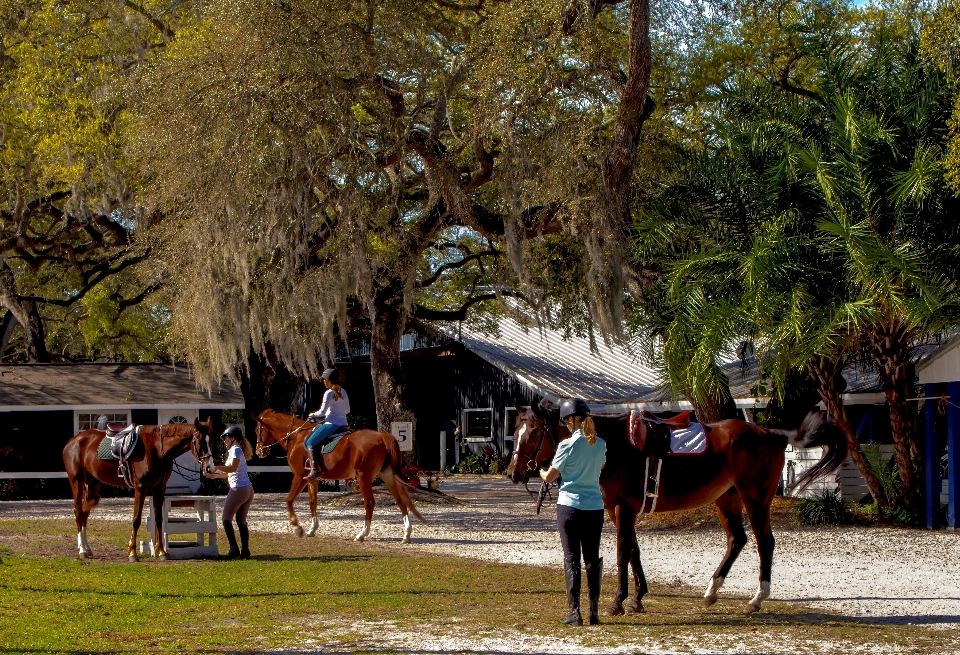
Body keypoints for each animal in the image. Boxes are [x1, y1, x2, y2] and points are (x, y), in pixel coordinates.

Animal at [62, 418, 216, 560]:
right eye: (200, 442)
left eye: (211, 441)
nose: (210, 468)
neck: (156, 448)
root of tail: (72, 441)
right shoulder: (140, 487)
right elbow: (136, 519)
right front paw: (132, 553)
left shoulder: (159, 488)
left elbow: (159, 519)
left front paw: (161, 551)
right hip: (77, 482)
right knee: (78, 512)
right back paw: (82, 550)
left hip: (93, 485)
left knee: (84, 513)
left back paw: (86, 548)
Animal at [253, 410, 422, 544]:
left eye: (256, 430)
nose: (259, 451)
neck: (297, 437)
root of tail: (382, 435)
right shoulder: (313, 479)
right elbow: (312, 502)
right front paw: (312, 529)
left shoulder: (299, 476)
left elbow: (288, 500)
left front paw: (298, 528)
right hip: (387, 475)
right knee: (400, 500)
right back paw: (406, 535)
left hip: (363, 477)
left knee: (370, 503)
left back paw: (361, 534)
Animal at [506, 400, 844, 616]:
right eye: (516, 430)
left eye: (533, 432)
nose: (513, 473)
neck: (614, 446)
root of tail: (771, 434)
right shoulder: (620, 510)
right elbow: (633, 550)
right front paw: (637, 598)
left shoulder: (623, 508)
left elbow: (622, 552)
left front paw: (618, 601)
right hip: (727, 499)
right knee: (738, 540)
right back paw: (712, 591)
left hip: (756, 498)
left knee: (765, 543)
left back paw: (756, 599)